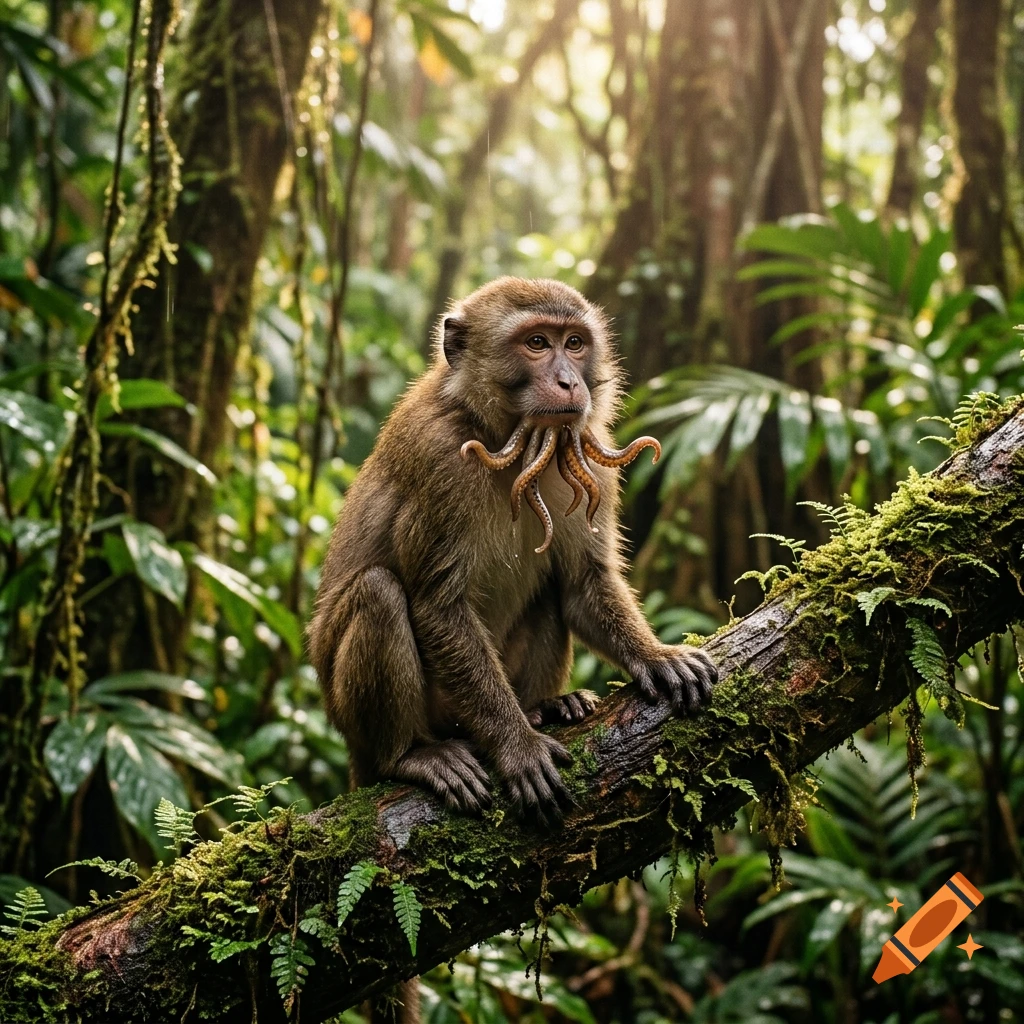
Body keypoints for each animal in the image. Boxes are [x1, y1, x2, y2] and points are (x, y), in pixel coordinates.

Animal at [308, 276, 719, 823]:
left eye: (574, 343)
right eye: (537, 343)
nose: (569, 382)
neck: (508, 438)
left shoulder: (589, 449)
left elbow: (582, 581)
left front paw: (655, 656)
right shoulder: (439, 460)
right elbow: (438, 605)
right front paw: (517, 746)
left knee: (549, 591)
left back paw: (543, 707)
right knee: (378, 593)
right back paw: (412, 755)